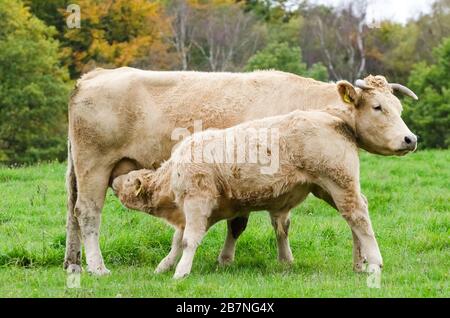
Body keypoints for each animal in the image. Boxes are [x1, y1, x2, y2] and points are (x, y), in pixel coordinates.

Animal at [64, 67, 418, 276]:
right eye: (378, 107)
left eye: (398, 107)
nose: (410, 139)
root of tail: (94, 75)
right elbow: (250, 222)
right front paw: (231, 259)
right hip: (94, 167)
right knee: (88, 213)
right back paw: (97, 267)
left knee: (72, 215)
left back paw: (73, 262)